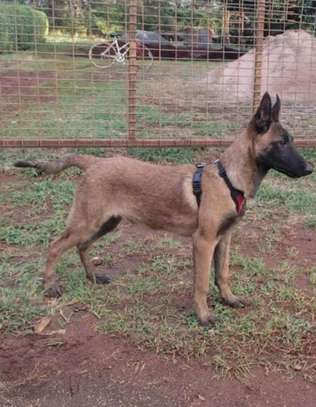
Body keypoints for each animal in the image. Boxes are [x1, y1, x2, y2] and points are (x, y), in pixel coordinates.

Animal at [15, 92, 314, 326]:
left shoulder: (224, 238)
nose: (310, 169)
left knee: (82, 246)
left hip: (107, 223)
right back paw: (50, 286)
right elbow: (202, 283)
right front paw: (203, 316)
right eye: (282, 142)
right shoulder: (203, 241)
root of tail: (94, 161)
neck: (229, 179)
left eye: (291, 140)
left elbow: (223, 273)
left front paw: (228, 299)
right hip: (86, 223)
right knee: (55, 246)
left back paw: (92, 277)